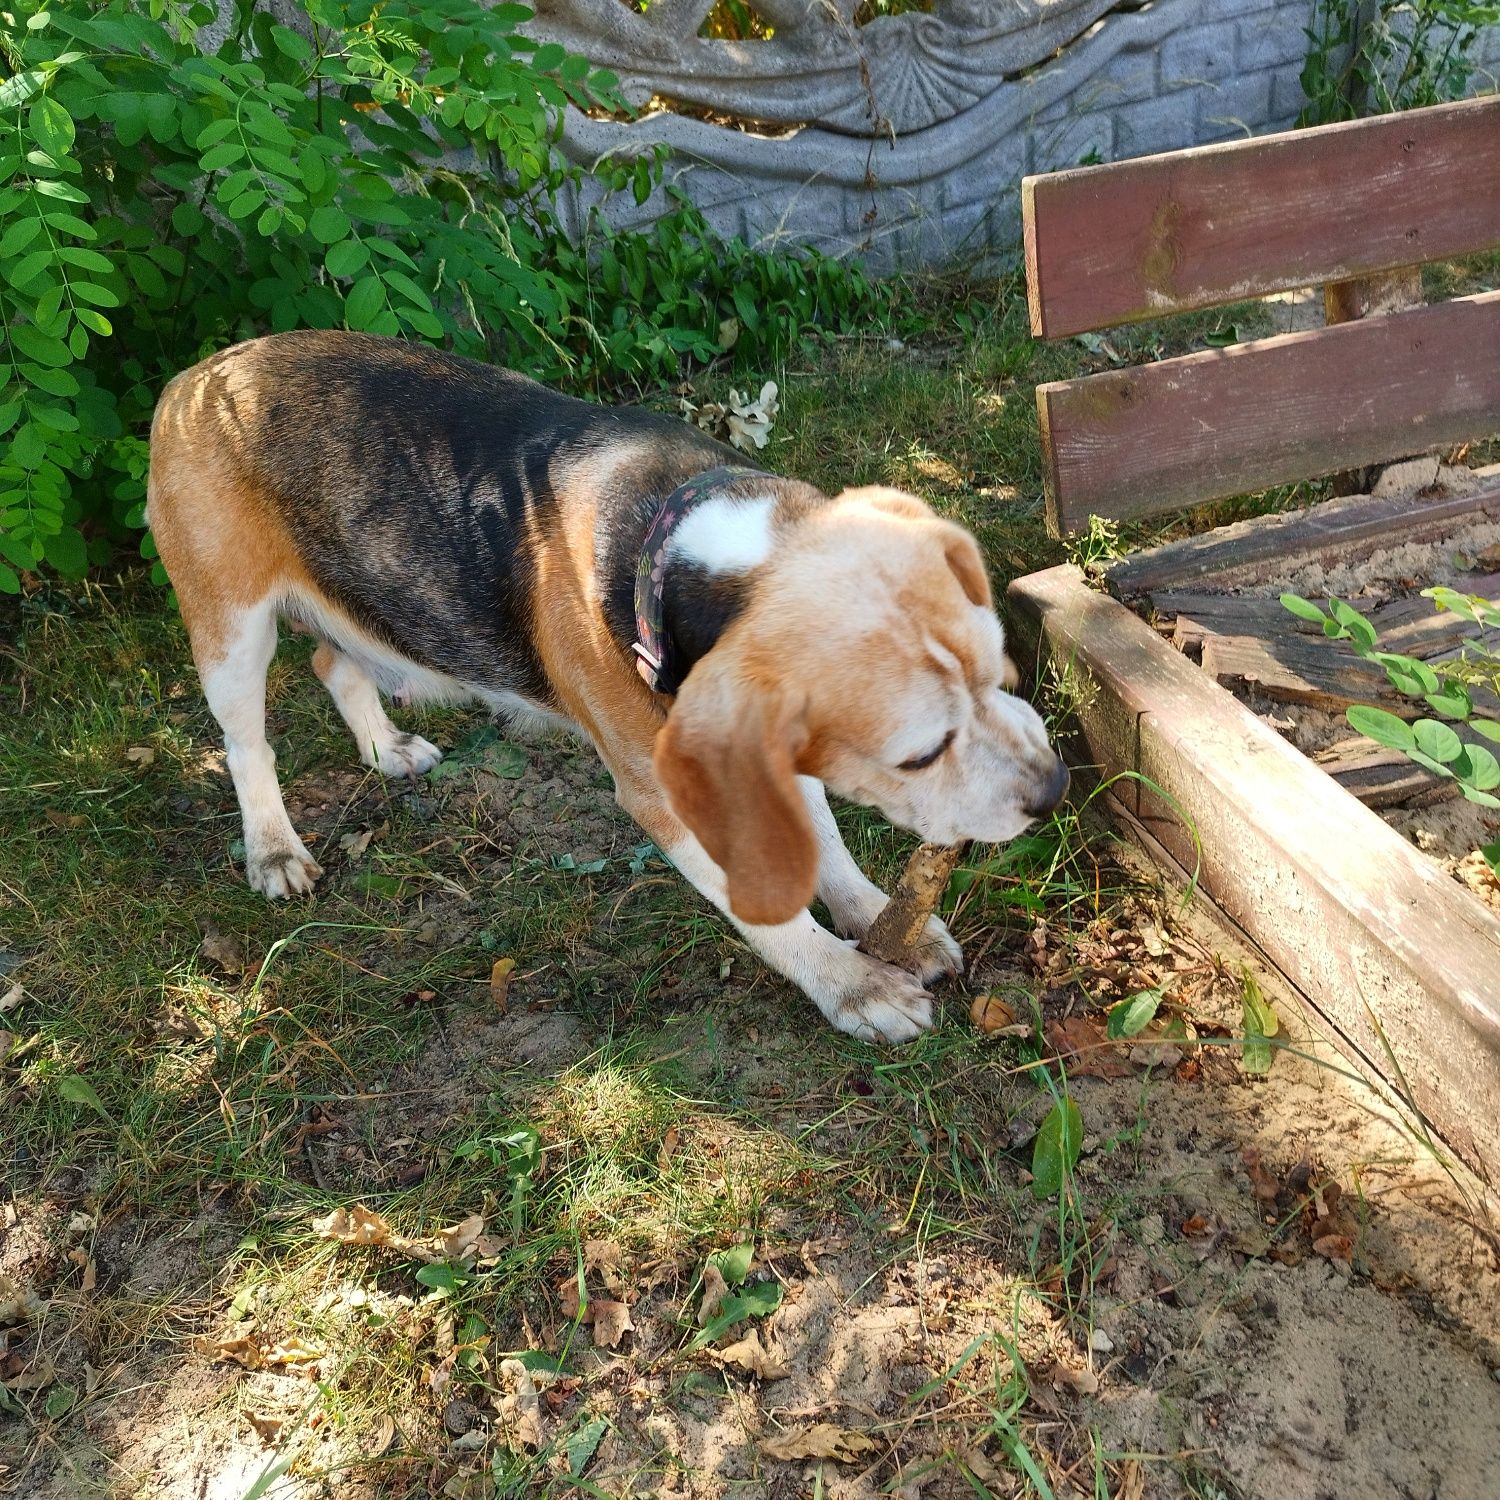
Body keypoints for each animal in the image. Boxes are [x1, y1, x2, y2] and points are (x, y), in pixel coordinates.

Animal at [149, 334, 1068, 1044]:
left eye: (1002, 673)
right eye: (919, 755)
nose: (1057, 788)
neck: (681, 546)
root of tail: (198, 374)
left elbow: (828, 847)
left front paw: (878, 922)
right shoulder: (669, 792)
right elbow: (772, 910)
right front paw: (854, 984)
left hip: (372, 607)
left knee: (333, 665)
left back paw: (385, 748)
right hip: (230, 627)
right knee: (246, 746)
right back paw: (273, 850)